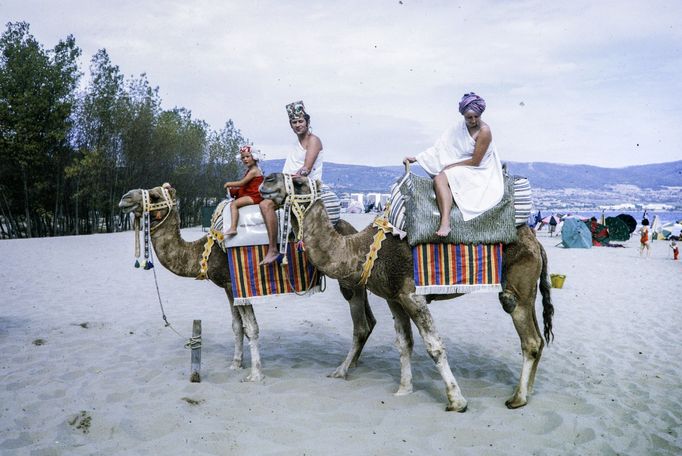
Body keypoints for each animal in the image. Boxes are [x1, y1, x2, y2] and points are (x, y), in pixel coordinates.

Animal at [115, 185, 372, 382]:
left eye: (155, 196)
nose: (125, 198)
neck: (205, 251)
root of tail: (354, 231)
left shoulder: (238, 284)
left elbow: (251, 328)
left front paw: (255, 374)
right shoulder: (230, 287)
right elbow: (237, 326)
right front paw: (236, 364)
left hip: (349, 281)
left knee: (361, 326)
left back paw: (342, 370)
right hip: (358, 282)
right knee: (370, 322)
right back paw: (354, 363)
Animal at [260, 173, 552, 412]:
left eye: (299, 181)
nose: (266, 181)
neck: (363, 251)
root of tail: (536, 242)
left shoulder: (412, 296)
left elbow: (434, 346)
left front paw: (456, 401)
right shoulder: (394, 298)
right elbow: (404, 343)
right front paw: (404, 389)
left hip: (516, 287)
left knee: (529, 338)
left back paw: (517, 399)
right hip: (529, 291)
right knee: (538, 338)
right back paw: (529, 391)